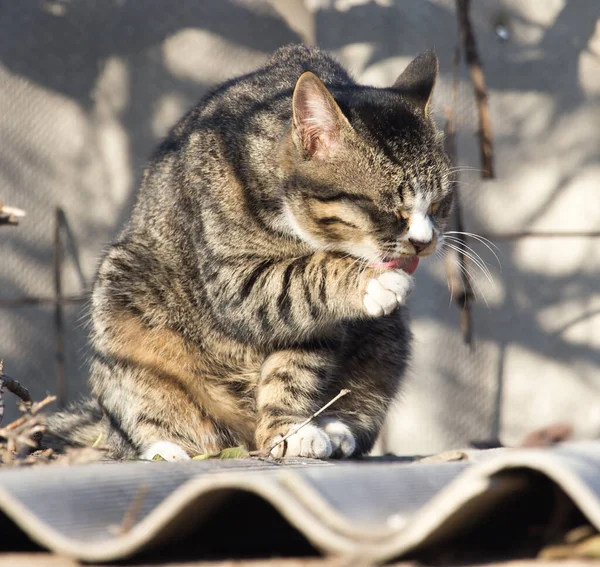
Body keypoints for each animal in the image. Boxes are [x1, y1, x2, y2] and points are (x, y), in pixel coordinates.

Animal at [48, 44, 450, 462]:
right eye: (390, 210)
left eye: (440, 204)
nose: (424, 241)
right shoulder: (232, 282)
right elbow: (301, 276)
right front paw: (371, 281)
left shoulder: (313, 327)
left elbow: (294, 368)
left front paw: (289, 430)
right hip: (122, 287)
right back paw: (166, 445)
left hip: (387, 339)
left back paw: (333, 426)